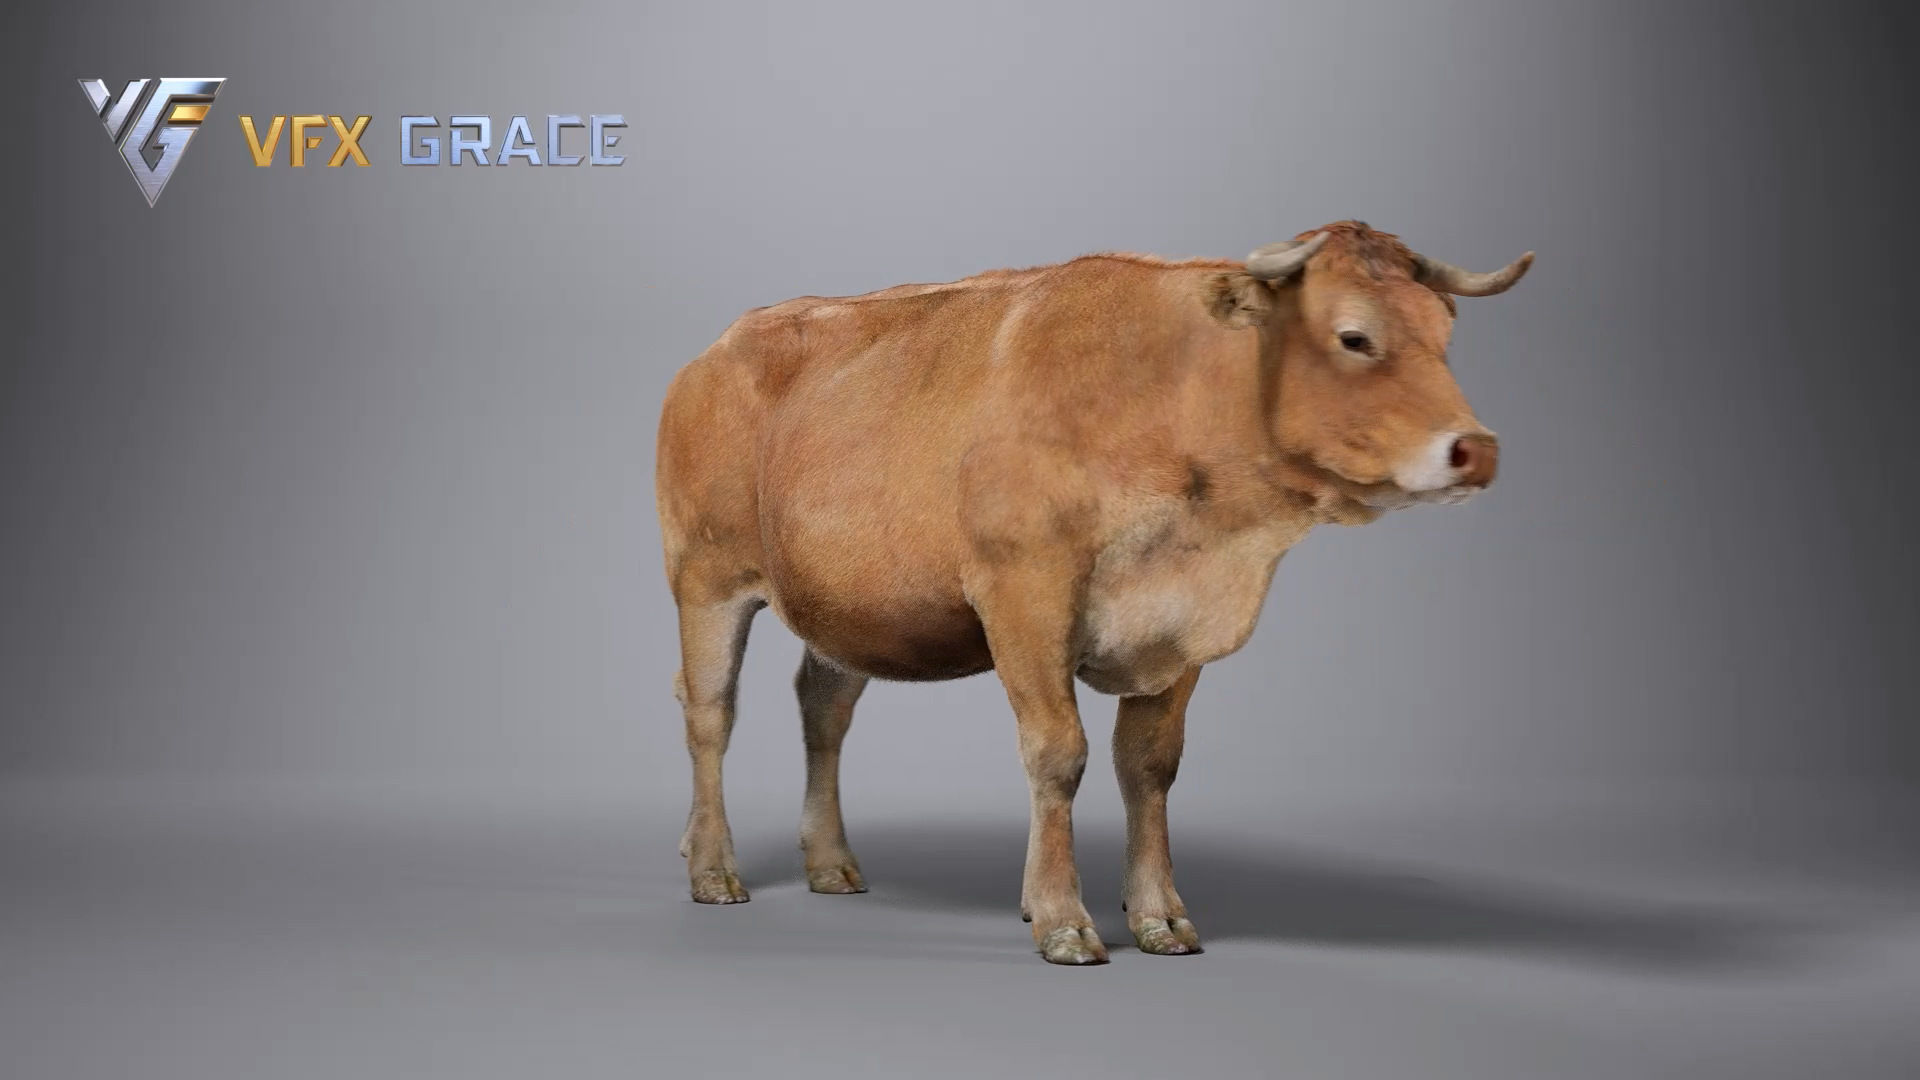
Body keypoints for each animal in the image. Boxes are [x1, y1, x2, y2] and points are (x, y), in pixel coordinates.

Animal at [654, 220, 1533, 964]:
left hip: (844, 603)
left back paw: (831, 862)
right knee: (710, 714)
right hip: (705, 577)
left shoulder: (1178, 625)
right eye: (1355, 336)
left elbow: (1150, 767)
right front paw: (1061, 921)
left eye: (1446, 335)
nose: (1478, 449)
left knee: (823, 709)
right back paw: (711, 868)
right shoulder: (1024, 594)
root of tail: (717, 350)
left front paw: (1159, 916)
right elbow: (1059, 754)